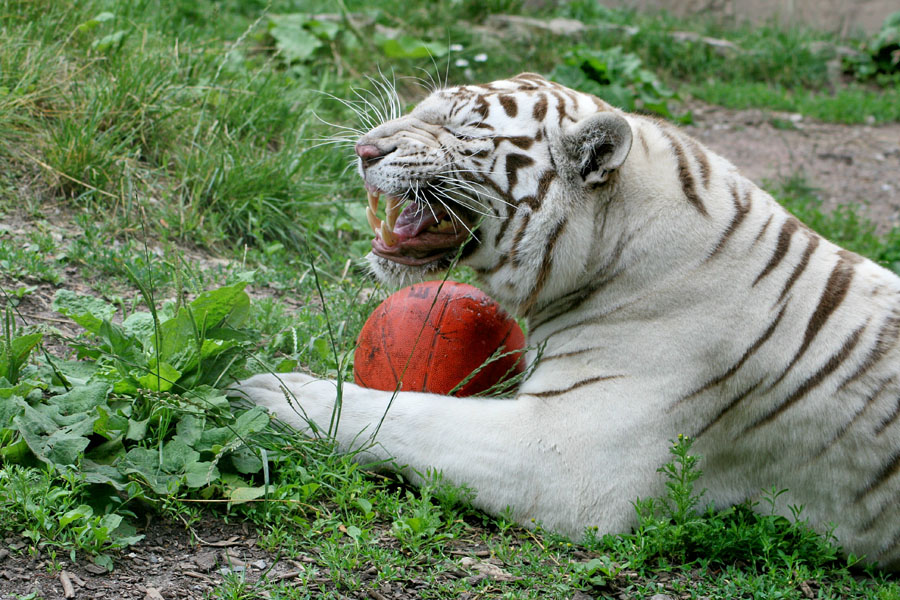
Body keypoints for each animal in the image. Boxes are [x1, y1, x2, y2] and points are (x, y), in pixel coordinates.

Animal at [239, 74, 900, 568]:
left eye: (461, 128)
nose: (365, 150)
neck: (614, 249)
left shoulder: (569, 459)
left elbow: (408, 414)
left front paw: (275, 392)